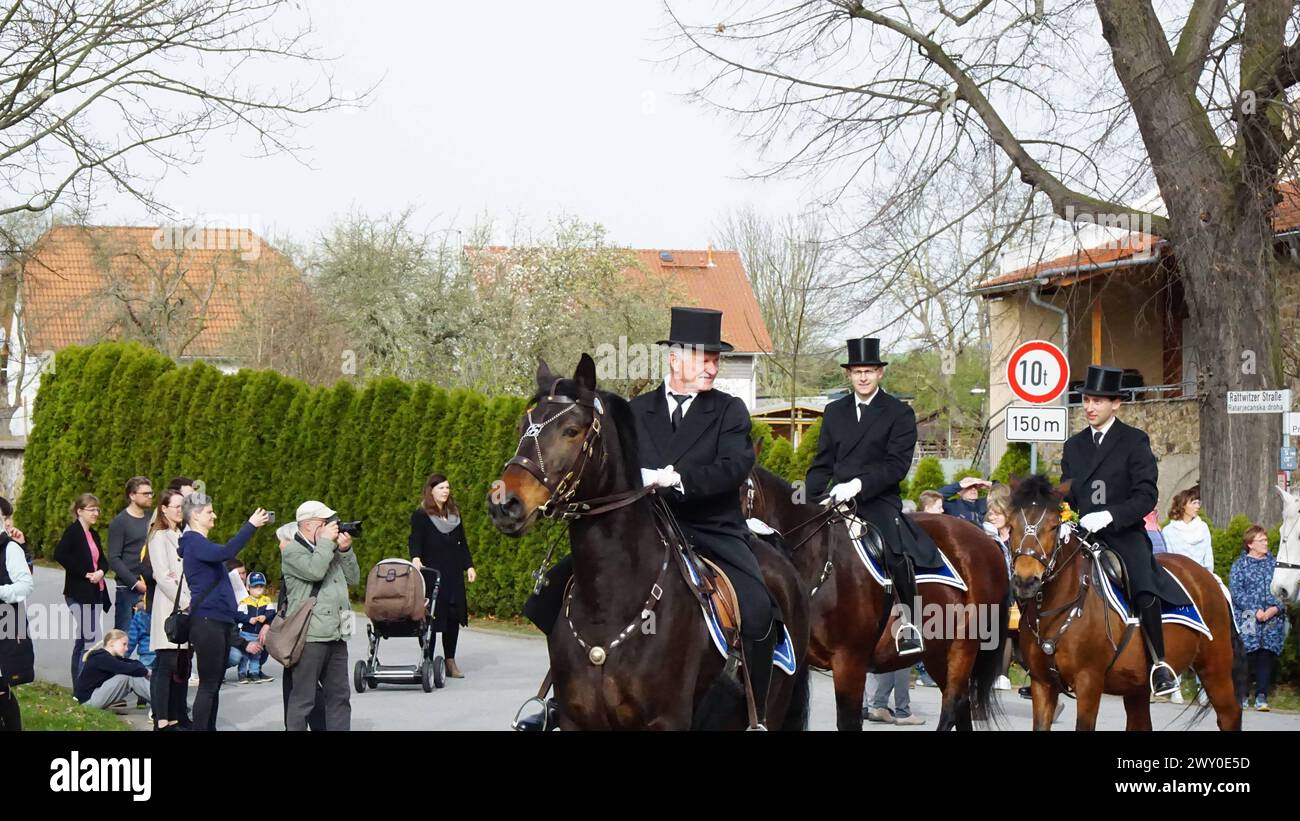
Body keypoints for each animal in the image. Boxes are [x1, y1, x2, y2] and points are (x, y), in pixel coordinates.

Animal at [488, 355, 811, 727]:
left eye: (571, 430)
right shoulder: (575, 719)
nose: (503, 503)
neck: (609, 606)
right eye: (521, 427)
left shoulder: (667, 720)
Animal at [743, 465, 1003, 727]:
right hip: (938, 651)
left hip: (964, 645)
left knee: (953, 703)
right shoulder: (792, 663)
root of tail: (985, 539)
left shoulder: (849, 662)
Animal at [1003, 475, 1237, 732]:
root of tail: (1207, 575)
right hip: (1137, 686)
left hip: (1216, 669)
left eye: (1054, 526)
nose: (1026, 581)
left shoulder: (1089, 682)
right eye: (1011, 526)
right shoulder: (1042, 684)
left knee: (1229, 716)